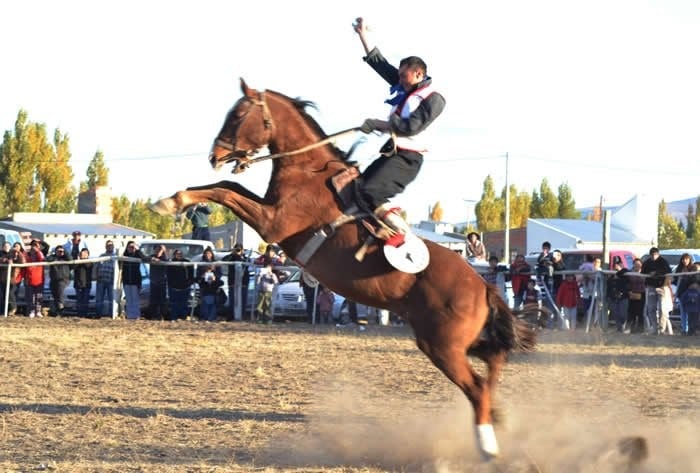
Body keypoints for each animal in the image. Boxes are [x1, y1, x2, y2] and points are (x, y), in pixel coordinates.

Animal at [154, 79, 536, 460]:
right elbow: (228, 187)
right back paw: (498, 416)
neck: (308, 172)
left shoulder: (272, 222)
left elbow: (226, 192)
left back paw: (487, 446)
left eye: (237, 115)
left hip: (444, 346)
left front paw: (171, 201)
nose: (214, 156)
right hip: (452, 341)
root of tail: (483, 287)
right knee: (493, 361)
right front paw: (171, 200)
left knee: (476, 387)